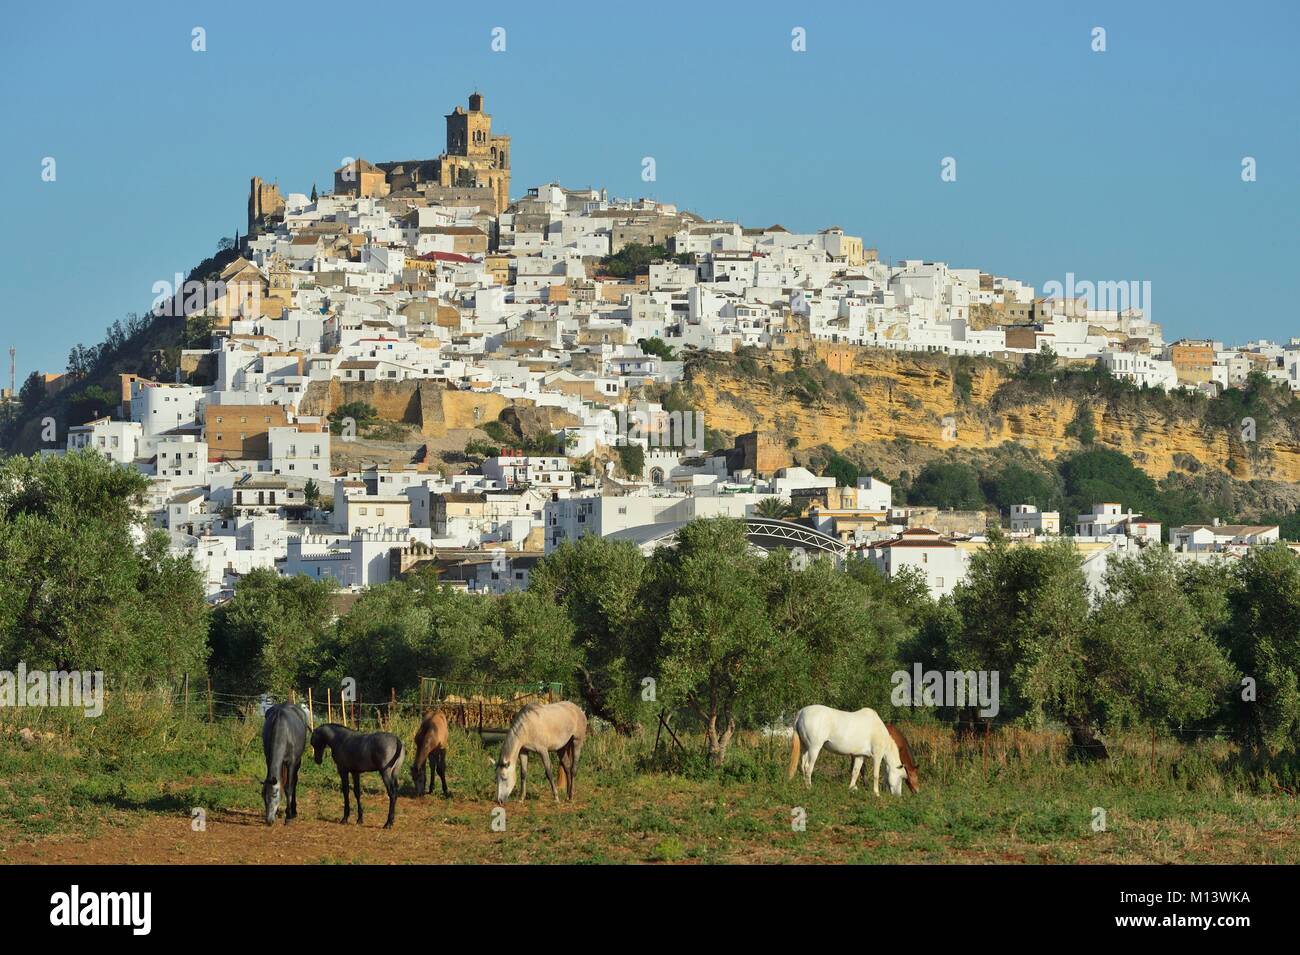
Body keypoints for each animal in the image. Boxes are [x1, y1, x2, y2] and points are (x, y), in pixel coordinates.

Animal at [785, 706, 920, 795]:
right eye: (904, 777)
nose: (898, 796)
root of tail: (801, 712)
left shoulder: (860, 756)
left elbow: (855, 771)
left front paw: (851, 788)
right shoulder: (877, 756)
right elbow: (876, 775)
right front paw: (876, 793)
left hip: (805, 748)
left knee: (803, 765)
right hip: (814, 748)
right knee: (808, 767)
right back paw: (809, 787)